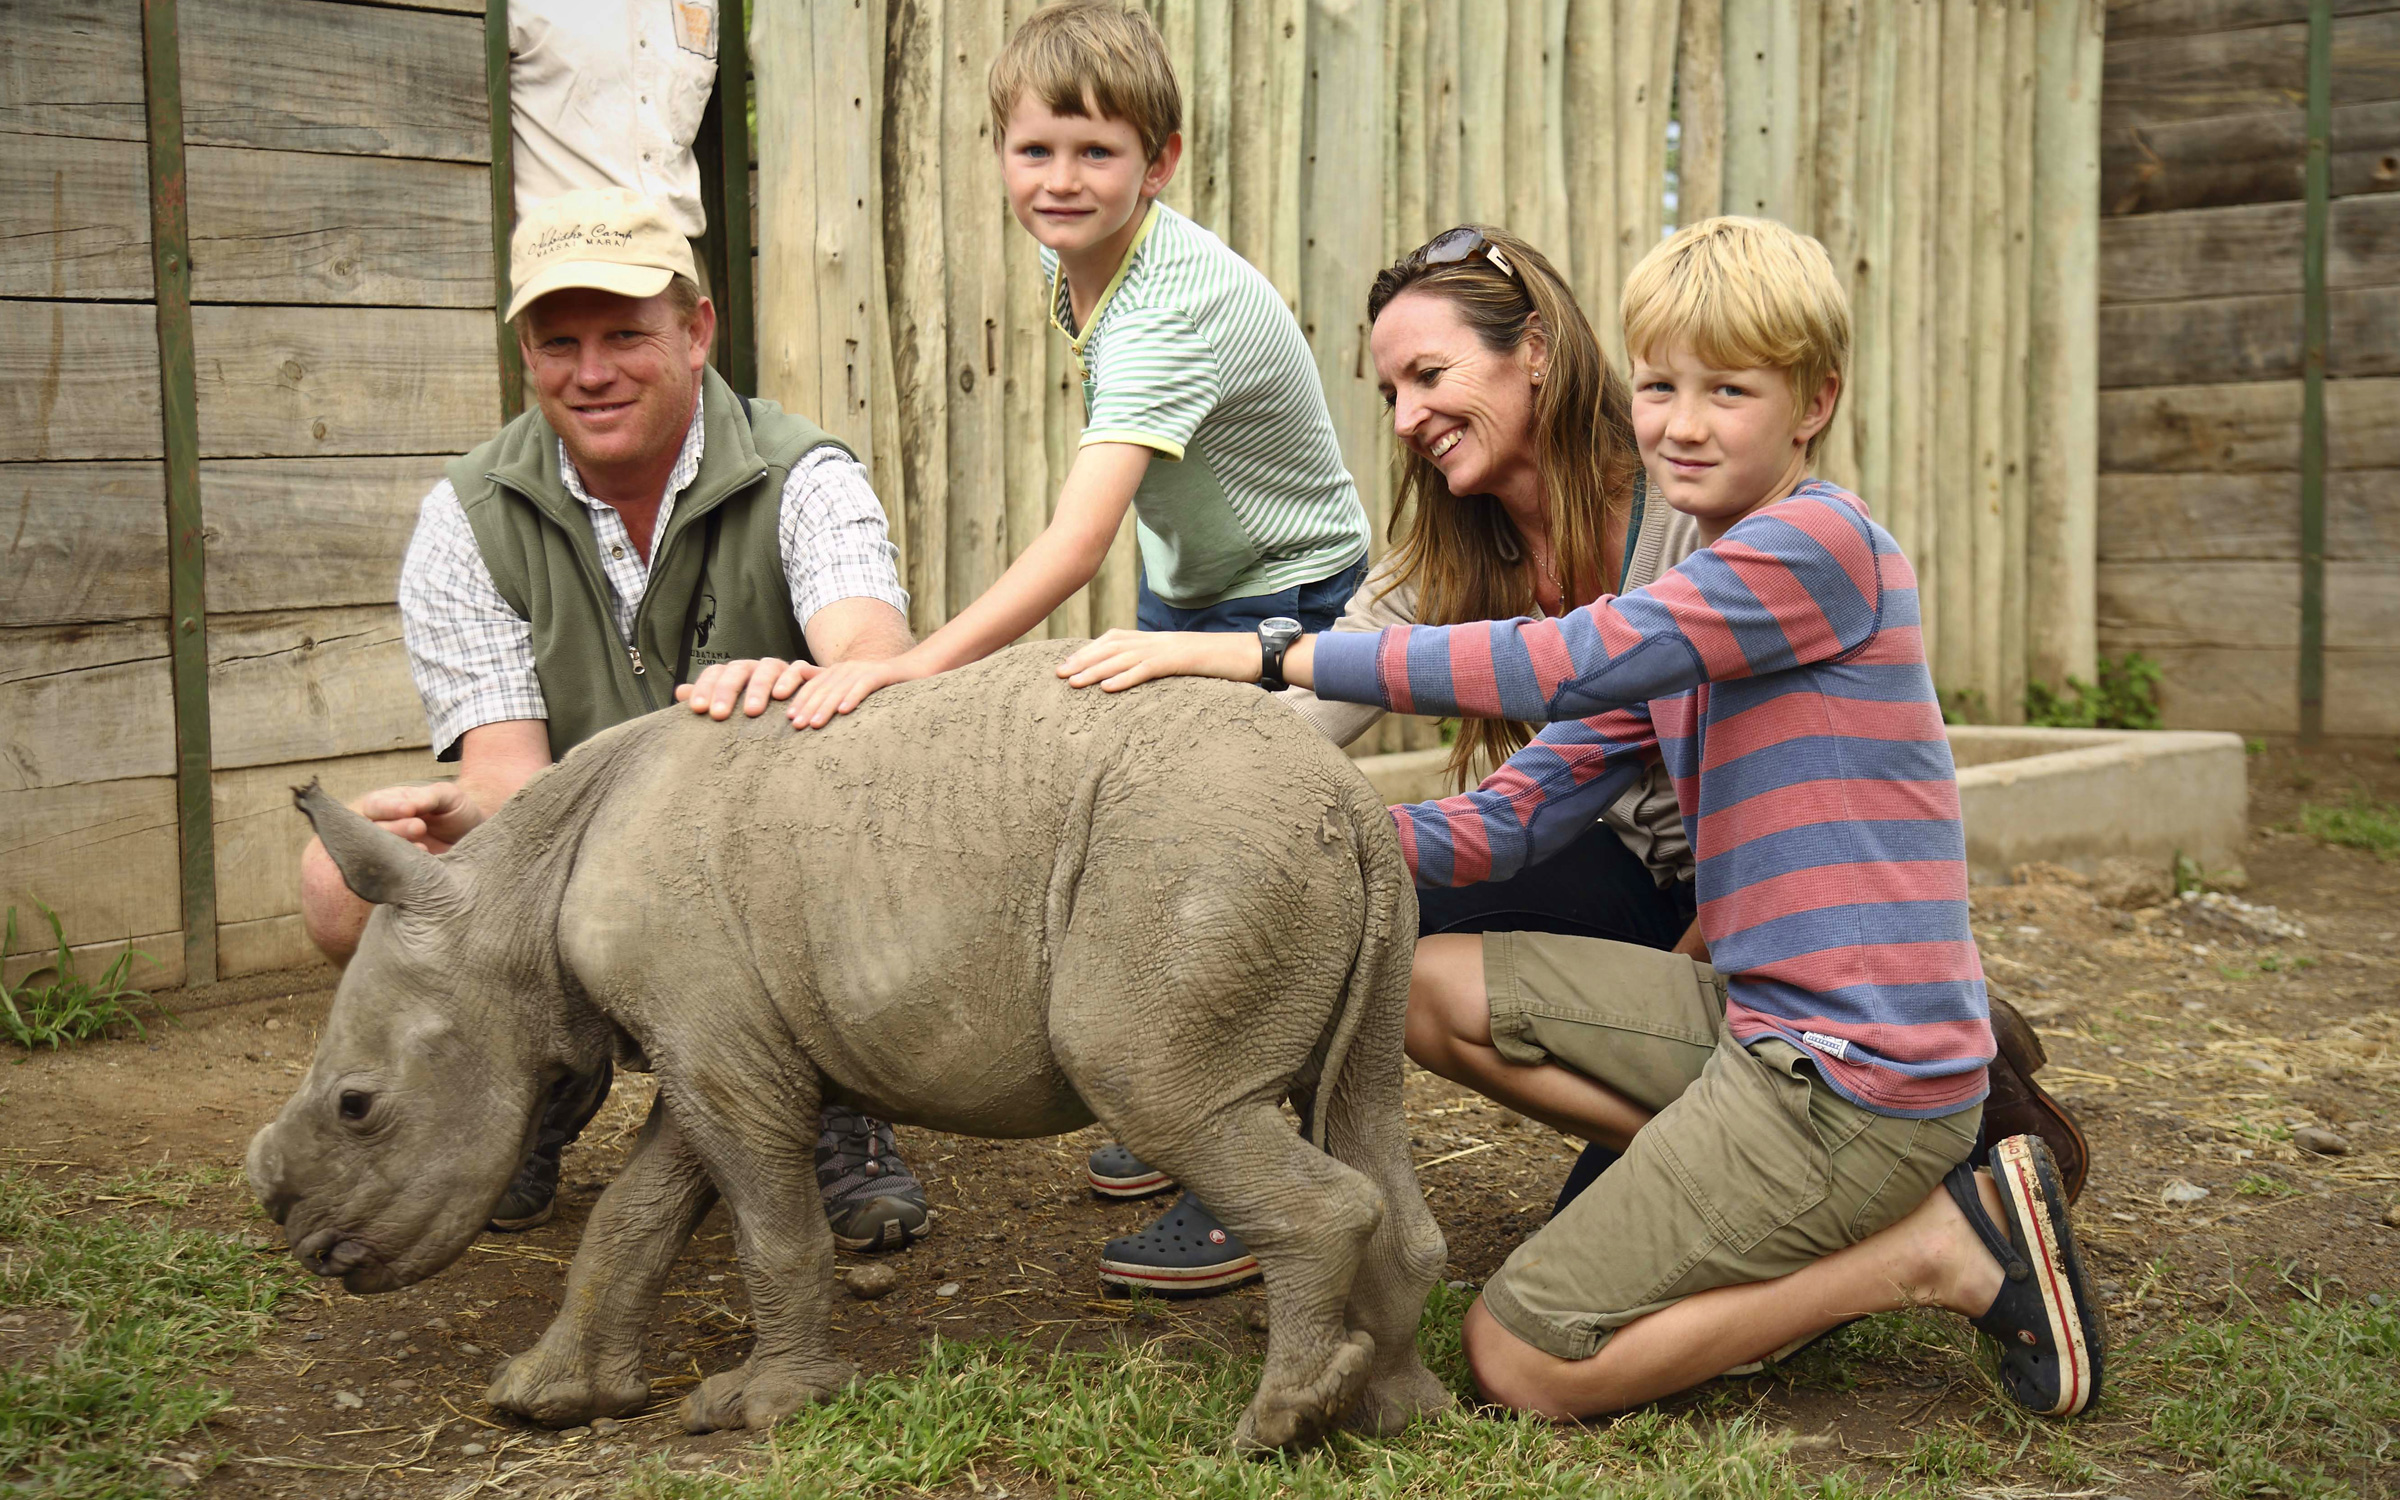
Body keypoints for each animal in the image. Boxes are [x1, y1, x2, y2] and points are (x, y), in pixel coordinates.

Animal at [248, 643, 1440, 1449]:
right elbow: (639, 1213)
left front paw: (761, 1409)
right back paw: (1389, 1413)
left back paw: (1275, 1426)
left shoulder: (722, 1054)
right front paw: (548, 1400)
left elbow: (771, 1230)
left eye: (357, 1106)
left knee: (1160, 1093)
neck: (511, 907)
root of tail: (1346, 792)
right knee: (1363, 1108)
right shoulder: (712, 1043)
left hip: (1194, 857)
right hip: (1319, 866)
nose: (312, 1248)